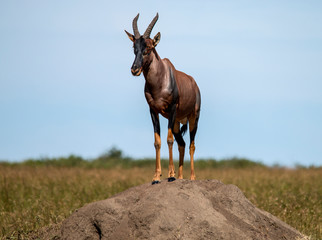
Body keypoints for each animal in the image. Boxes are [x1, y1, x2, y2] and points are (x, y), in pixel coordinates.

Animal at [124, 13, 200, 185]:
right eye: (134, 48)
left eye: (149, 48)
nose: (134, 69)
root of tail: (194, 83)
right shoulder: (153, 111)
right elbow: (157, 142)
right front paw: (156, 177)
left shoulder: (172, 109)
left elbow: (169, 140)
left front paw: (170, 175)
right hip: (177, 122)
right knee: (182, 144)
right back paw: (180, 177)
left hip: (193, 117)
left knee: (191, 145)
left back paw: (192, 178)